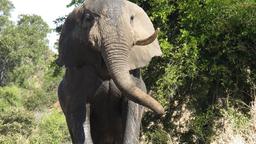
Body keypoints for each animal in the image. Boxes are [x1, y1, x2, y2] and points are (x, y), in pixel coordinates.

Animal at [56, 0, 164, 143]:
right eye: (88, 19)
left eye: (131, 18)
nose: (161, 112)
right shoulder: (76, 75)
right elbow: (79, 113)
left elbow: (132, 108)